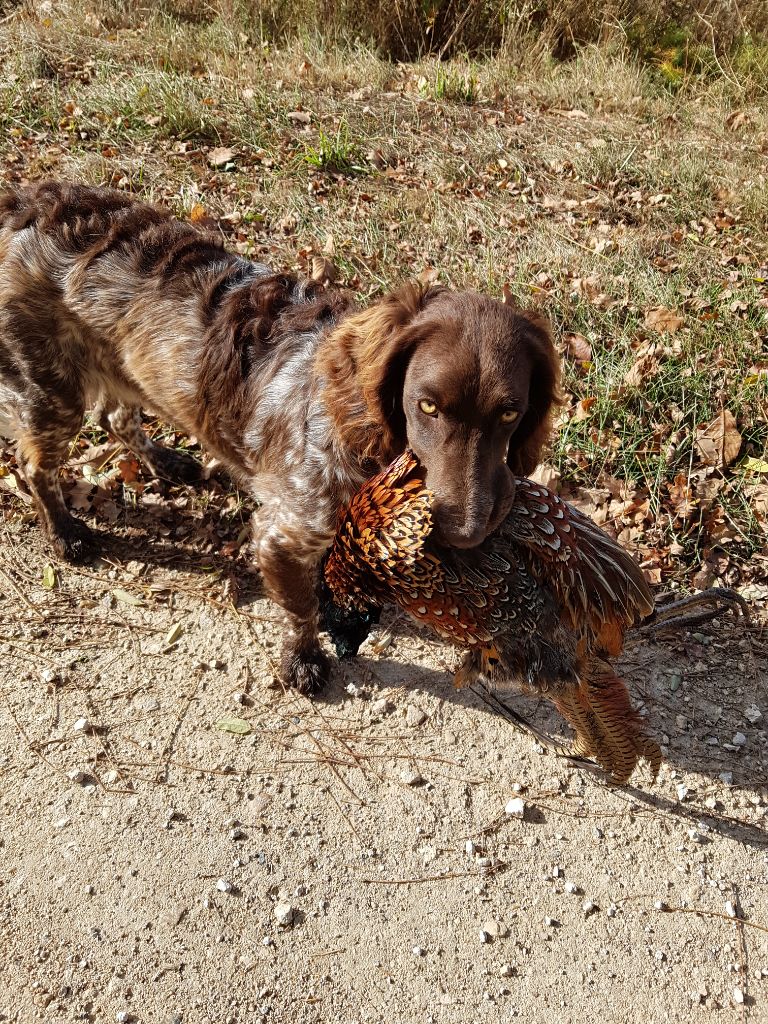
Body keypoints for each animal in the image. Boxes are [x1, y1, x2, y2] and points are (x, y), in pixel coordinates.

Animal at [0, 180, 557, 692]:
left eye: (511, 413)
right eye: (427, 405)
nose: (467, 531)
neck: (361, 434)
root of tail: (26, 201)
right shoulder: (283, 534)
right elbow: (300, 607)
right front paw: (303, 660)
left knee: (116, 418)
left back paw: (166, 462)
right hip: (52, 391)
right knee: (35, 466)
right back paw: (65, 532)